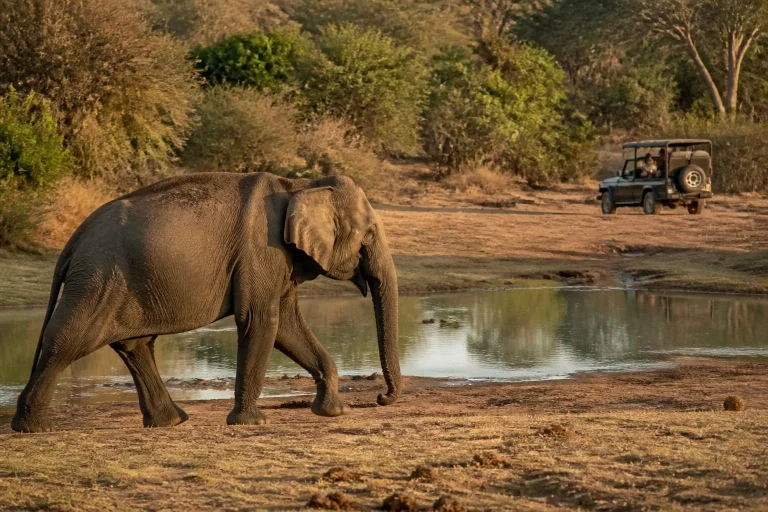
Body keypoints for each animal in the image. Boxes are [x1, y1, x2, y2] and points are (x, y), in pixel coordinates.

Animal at [11, 172, 401, 433]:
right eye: (368, 234)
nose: (382, 398)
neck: (300, 186)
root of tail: (73, 241)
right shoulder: (262, 252)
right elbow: (262, 321)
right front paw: (251, 422)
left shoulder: (280, 261)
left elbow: (287, 326)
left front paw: (332, 412)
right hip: (97, 278)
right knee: (69, 339)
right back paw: (31, 428)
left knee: (134, 344)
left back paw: (171, 422)